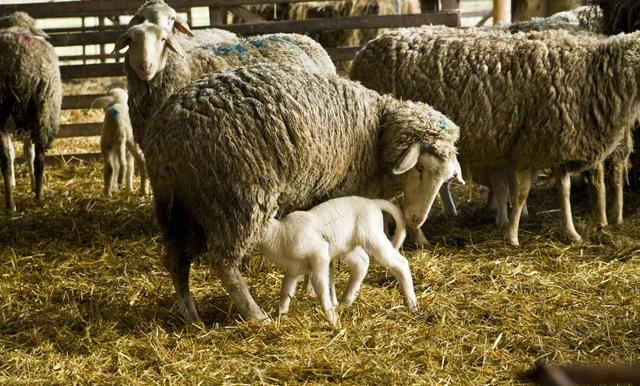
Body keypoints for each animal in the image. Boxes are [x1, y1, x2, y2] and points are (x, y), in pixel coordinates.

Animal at [0, 16, 61, 213]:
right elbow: (28, 152)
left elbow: (24, 152)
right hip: (44, 111)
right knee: (38, 157)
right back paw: (36, 196)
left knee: (8, 158)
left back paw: (13, 203)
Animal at [258, 196, 418, 326]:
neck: (280, 235)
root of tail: (373, 202)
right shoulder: (293, 270)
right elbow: (285, 291)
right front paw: (280, 317)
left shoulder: (320, 253)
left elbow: (320, 285)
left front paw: (332, 318)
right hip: (347, 246)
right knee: (362, 262)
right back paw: (347, 300)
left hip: (372, 236)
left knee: (400, 262)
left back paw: (412, 304)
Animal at [350, 27, 640, 246]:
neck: (591, 76)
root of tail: (367, 49)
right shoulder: (527, 147)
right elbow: (521, 194)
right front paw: (512, 235)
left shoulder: (554, 146)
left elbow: (564, 192)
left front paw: (571, 232)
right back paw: (414, 235)